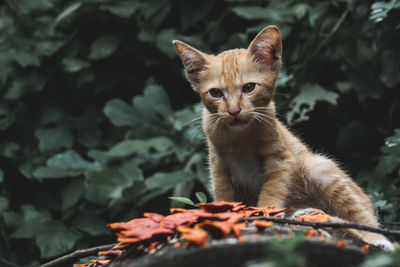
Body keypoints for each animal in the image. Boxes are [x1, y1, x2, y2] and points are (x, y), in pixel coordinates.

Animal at [173, 24, 394, 251]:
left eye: (249, 87)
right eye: (216, 93)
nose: (234, 111)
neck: (239, 139)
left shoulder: (280, 159)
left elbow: (273, 191)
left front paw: (264, 213)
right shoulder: (218, 165)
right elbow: (223, 195)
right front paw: (225, 216)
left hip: (319, 167)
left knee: (362, 219)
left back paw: (378, 240)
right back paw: (303, 212)